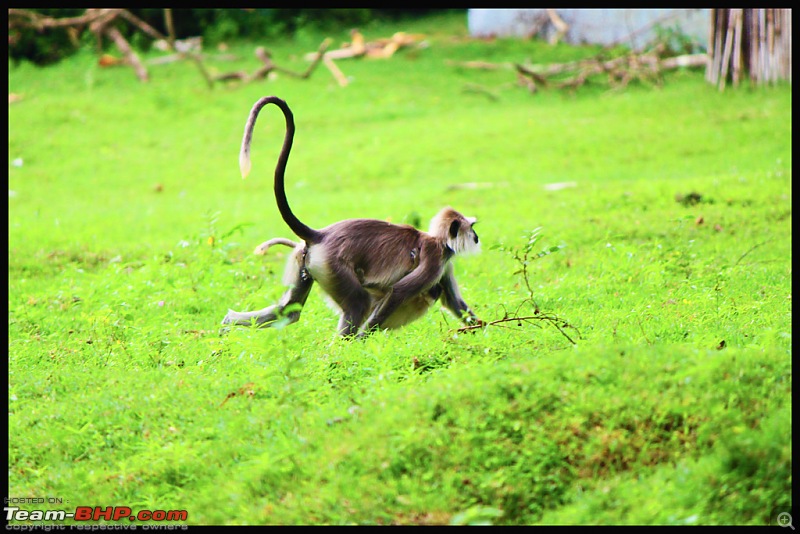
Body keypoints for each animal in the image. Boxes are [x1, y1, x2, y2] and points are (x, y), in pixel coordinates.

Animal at [220, 96, 482, 340]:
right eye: (472, 229)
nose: (477, 238)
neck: (437, 240)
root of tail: (321, 235)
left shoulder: (445, 261)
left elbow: (454, 303)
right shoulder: (436, 257)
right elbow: (397, 292)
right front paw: (364, 337)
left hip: (307, 262)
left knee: (289, 312)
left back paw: (227, 323)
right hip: (332, 266)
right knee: (359, 302)